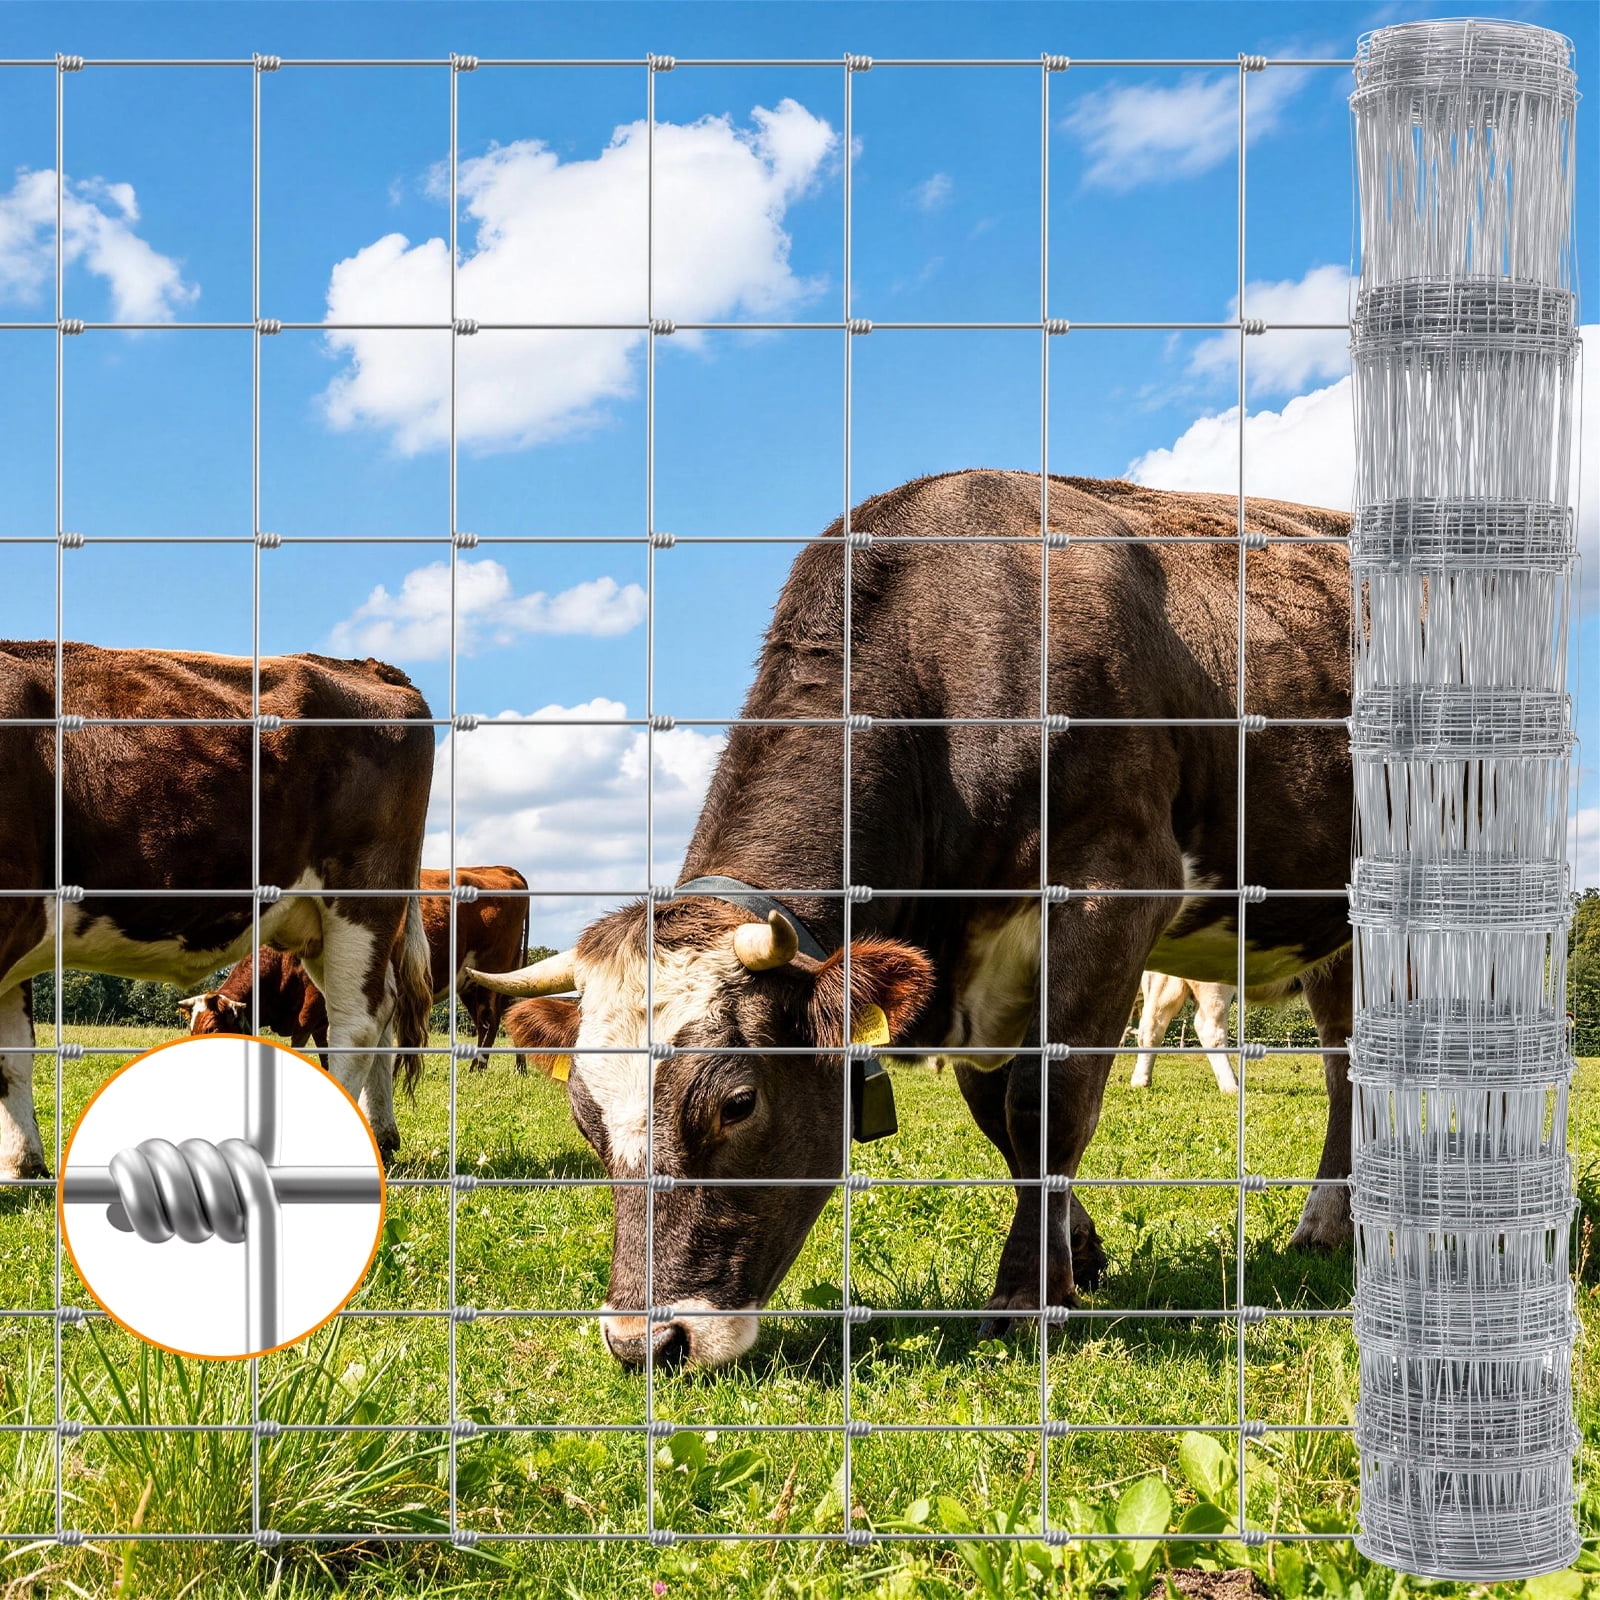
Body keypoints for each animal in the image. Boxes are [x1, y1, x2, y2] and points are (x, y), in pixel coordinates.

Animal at [0, 644, 436, 1177]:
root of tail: (368, 666)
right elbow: (13, 1055)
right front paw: (23, 1166)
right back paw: (382, 1136)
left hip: (362, 901)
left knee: (356, 1027)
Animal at [179, 866, 532, 1071]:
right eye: (191, 1030)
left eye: (213, 1030)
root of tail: (504, 870)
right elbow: (324, 1049)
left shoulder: (311, 1007)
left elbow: (304, 1044)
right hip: (474, 981)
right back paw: (516, 1066)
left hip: (491, 972)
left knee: (490, 1019)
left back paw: (479, 1068)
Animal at [469, 473, 1355, 1371]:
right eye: (583, 1116)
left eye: (739, 1103)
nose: (643, 1342)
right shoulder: (959, 968)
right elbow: (996, 1116)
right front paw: (1076, 1259)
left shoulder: (1113, 890)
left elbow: (1045, 1103)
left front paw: (1025, 1298)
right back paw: (1329, 1226)